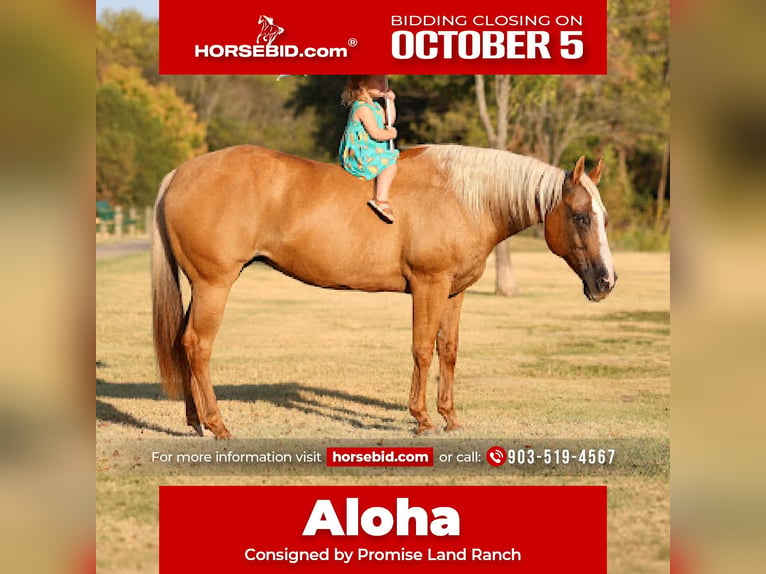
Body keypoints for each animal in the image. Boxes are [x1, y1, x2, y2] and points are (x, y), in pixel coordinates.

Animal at [151, 144, 616, 439]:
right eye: (580, 216)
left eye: (604, 217)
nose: (606, 282)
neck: (461, 196)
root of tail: (179, 174)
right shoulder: (429, 285)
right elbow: (422, 349)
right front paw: (422, 419)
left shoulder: (453, 293)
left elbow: (448, 351)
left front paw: (450, 418)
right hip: (214, 285)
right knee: (198, 345)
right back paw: (217, 425)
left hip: (201, 287)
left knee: (182, 342)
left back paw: (195, 421)